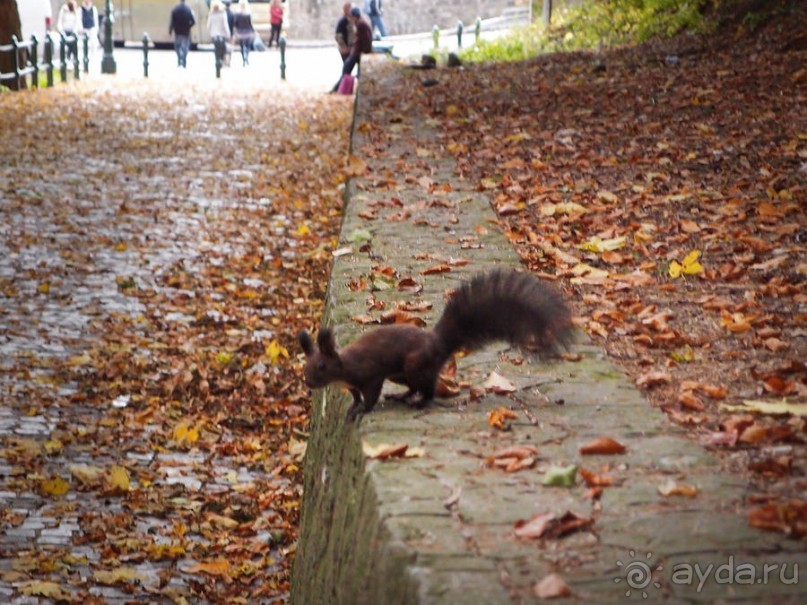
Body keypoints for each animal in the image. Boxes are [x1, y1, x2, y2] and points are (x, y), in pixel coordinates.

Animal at [298, 268, 576, 420]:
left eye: (321, 366)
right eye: (305, 366)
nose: (308, 383)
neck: (343, 367)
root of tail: (438, 343)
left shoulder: (369, 375)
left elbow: (370, 396)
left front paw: (361, 411)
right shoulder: (353, 385)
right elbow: (355, 396)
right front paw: (353, 407)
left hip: (414, 365)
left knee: (428, 388)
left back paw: (419, 402)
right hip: (402, 374)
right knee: (415, 386)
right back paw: (402, 396)